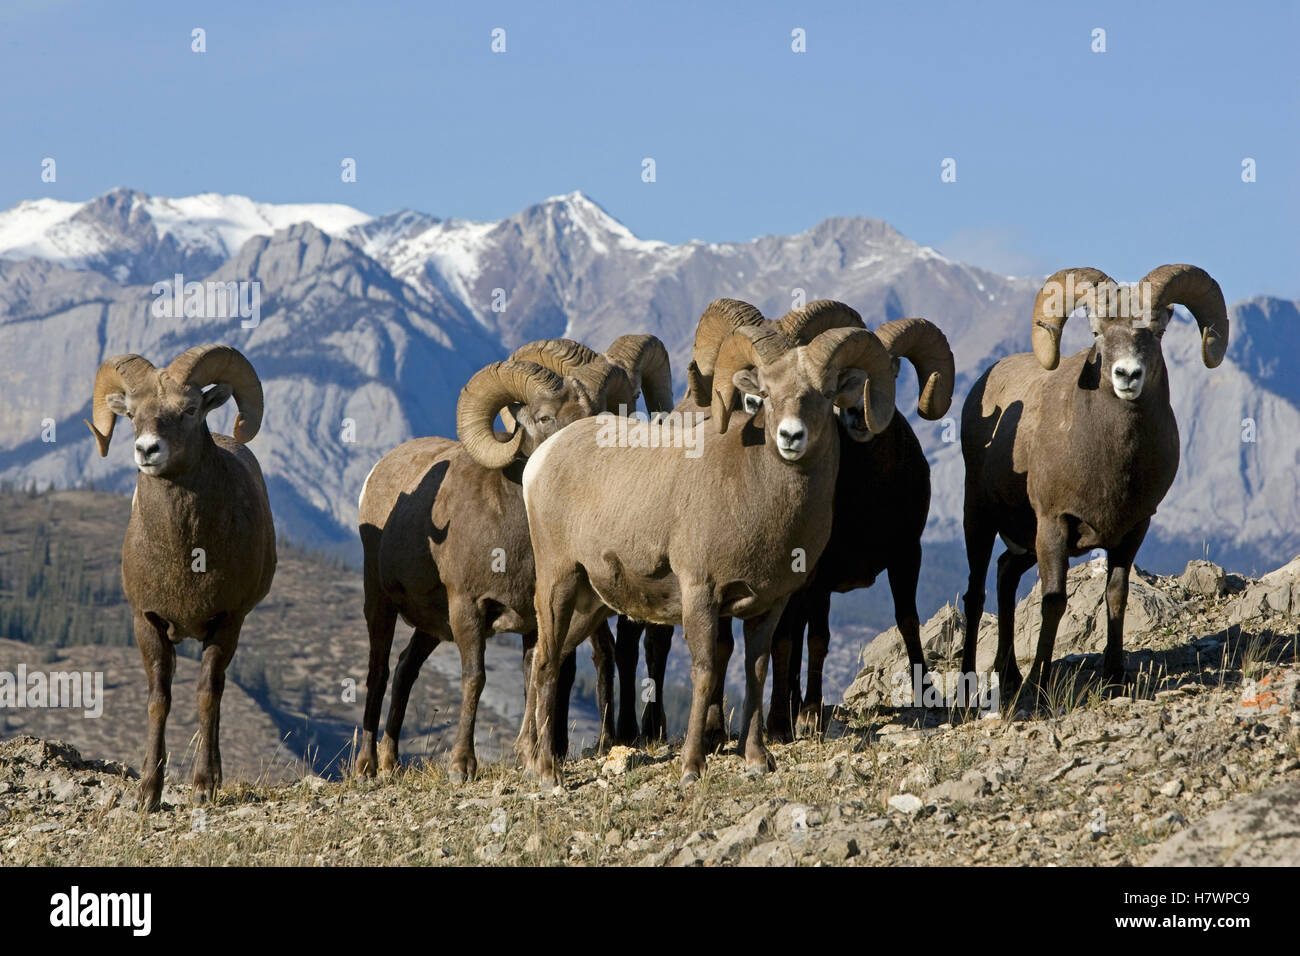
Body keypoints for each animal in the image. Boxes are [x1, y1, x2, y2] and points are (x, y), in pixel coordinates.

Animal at [85, 345, 276, 811]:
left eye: (189, 409)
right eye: (133, 414)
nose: (147, 450)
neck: (189, 557)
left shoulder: (226, 623)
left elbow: (207, 696)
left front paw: (204, 786)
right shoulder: (147, 622)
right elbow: (159, 700)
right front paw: (148, 794)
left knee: (219, 695)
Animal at [356, 337, 669, 781]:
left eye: (603, 414)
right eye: (544, 417)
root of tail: (376, 475)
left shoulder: (533, 619)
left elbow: (534, 676)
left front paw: (531, 756)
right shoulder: (468, 608)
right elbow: (475, 679)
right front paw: (462, 766)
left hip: (431, 626)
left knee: (404, 669)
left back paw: (390, 762)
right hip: (380, 602)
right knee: (380, 670)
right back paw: (367, 765)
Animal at [518, 302, 899, 785]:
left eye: (824, 392)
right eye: (766, 393)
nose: (790, 437)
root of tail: (544, 457)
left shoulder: (767, 605)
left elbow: (756, 671)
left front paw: (756, 759)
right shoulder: (700, 594)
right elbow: (705, 672)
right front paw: (692, 766)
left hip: (590, 602)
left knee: (545, 659)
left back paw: (531, 758)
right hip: (559, 583)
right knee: (547, 662)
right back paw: (548, 773)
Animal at [768, 314, 955, 737]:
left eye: (893, 369)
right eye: (841, 381)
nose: (856, 413)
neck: (872, 500)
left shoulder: (907, 555)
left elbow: (908, 622)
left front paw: (929, 697)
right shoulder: (819, 578)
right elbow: (819, 641)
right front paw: (810, 714)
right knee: (788, 638)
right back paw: (787, 714)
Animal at [958, 264, 1229, 704]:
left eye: (1155, 332)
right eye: (1097, 333)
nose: (1127, 375)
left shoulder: (1132, 530)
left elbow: (1116, 596)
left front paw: (1115, 677)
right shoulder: (1054, 525)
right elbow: (1053, 602)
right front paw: (1038, 686)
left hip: (1023, 543)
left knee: (1005, 574)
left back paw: (1010, 676)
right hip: (979, 519)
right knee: (977, 592)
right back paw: (977, 684)